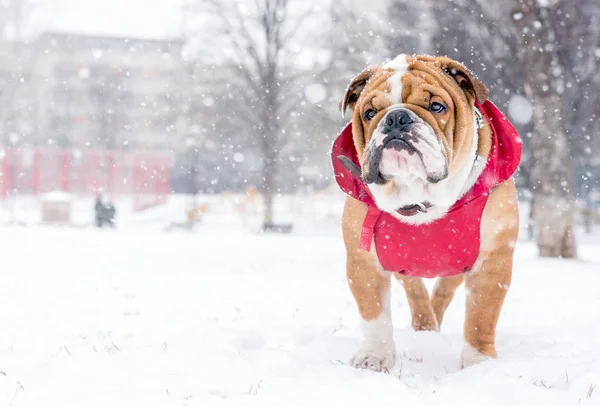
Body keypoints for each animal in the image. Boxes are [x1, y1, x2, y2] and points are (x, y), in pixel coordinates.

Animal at [330, 54, 524, 372]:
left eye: (437, 107)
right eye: (370, 113)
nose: (396, 118)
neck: (420, 199)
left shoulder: (492, 259)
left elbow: (481, 316)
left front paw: (478, 362)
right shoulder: (364, 261)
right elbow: (374, 314)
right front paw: (375, 358)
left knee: (444, 290)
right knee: (416, 290)